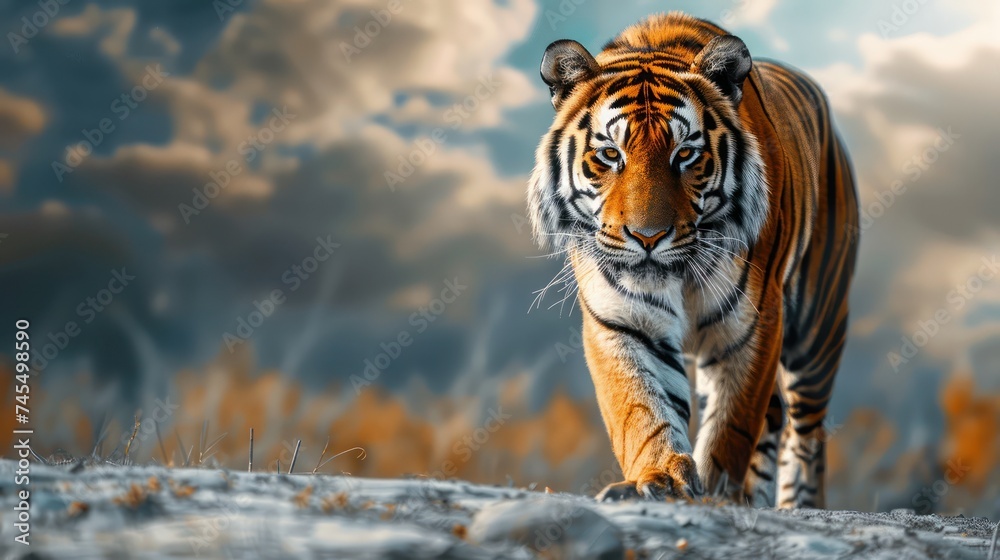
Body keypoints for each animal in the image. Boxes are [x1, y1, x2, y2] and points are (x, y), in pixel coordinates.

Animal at [527, 12, 858, 508]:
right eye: (609, 154)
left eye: (685, 154)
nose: (647, 237)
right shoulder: (622, 320)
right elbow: (642, 409)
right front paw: (661, 477)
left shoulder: (753, 322)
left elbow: (732, 423)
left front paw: (716, 490)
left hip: (818, 332)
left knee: (807, 434)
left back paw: (796, 503)